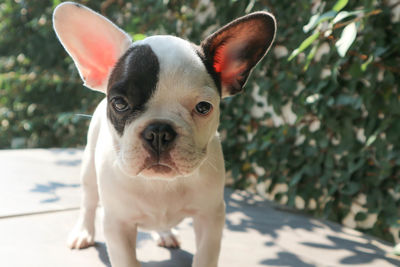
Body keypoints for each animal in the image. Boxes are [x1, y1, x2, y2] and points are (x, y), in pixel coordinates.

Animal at [53, 2, 276, 267]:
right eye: (119, 103)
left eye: (204, 107)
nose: (158, 131)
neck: (160, 184)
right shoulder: (118, 223)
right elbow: (126, 258)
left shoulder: (210, 217)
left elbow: (205, 255)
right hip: (88, 167)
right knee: (88, 201)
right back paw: (83, 232)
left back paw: (165, 233)